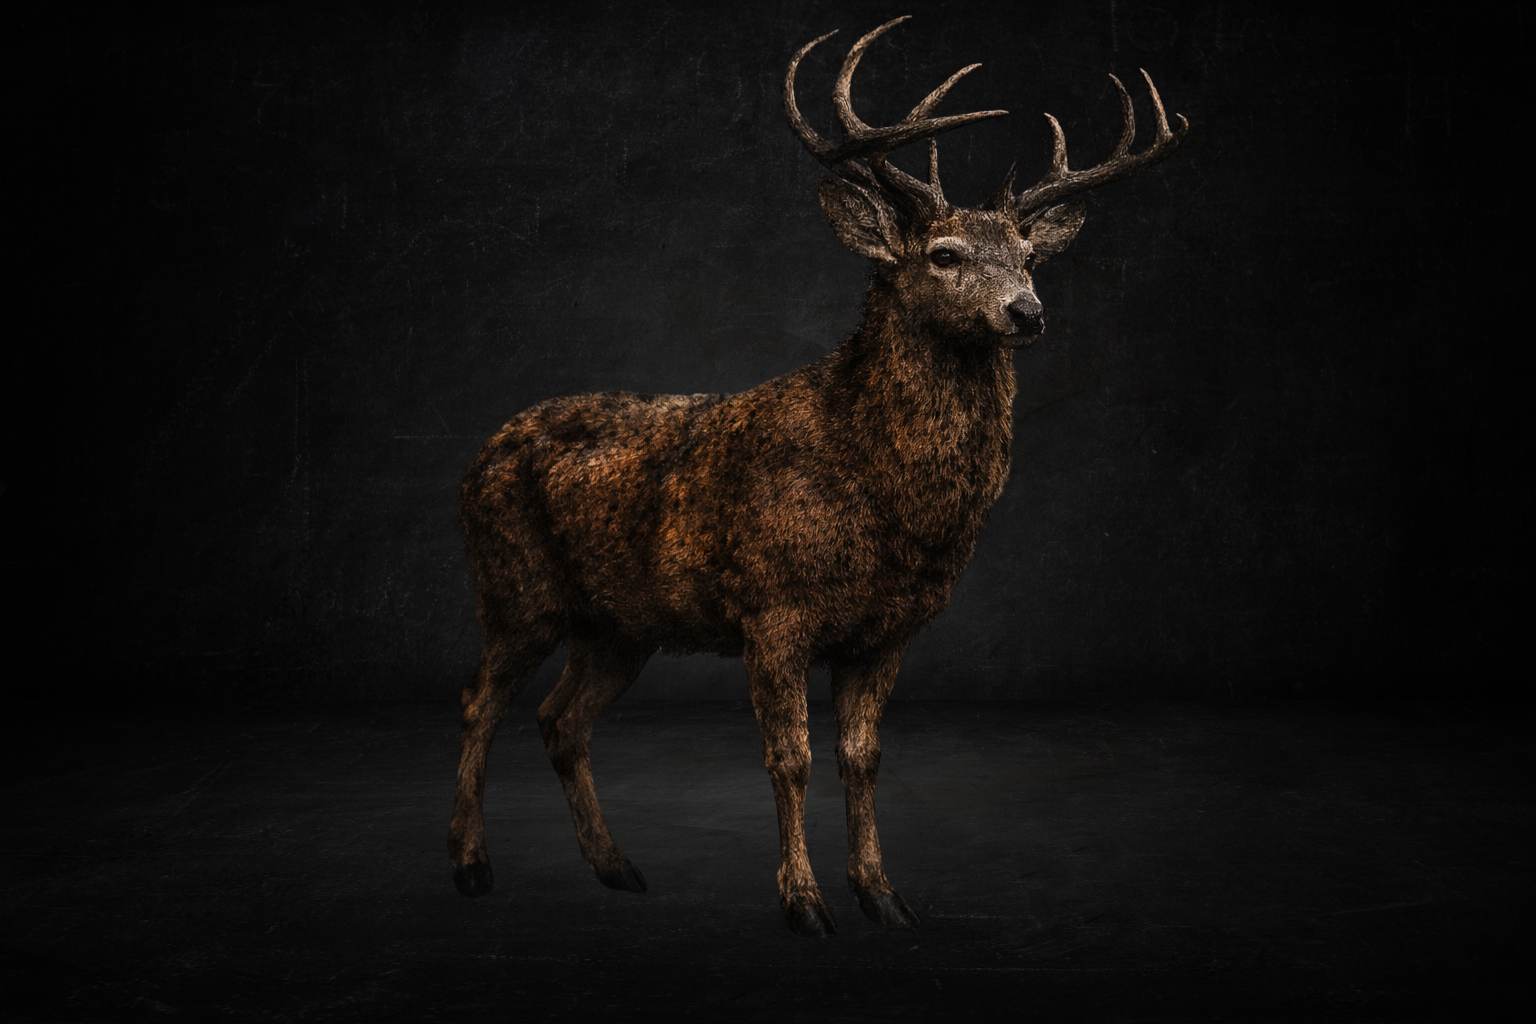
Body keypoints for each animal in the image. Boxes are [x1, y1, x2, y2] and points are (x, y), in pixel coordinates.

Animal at [448, 16, 1188, 937]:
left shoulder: (889, 630)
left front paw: (882, 895)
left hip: (620, 623)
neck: (884, 493)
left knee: (561, 719)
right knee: (480, 703)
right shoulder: (775, 608)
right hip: (513, 588)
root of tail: (480, 452)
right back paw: (471, 866)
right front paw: (803, 904)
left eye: (1028, 255)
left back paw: (617, 867)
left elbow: (861, 760)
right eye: (943, 253)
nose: (1028, 312)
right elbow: (790, 758)